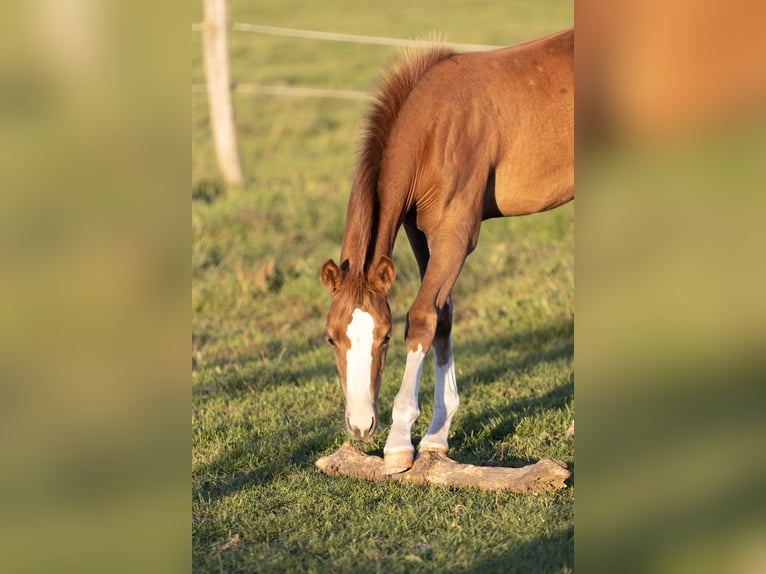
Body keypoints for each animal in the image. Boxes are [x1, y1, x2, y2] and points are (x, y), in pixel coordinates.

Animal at [320, 28, 574, 475]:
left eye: (386, 337)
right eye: (331, 338)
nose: (361, 425)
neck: (434, 127)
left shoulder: (458, 232)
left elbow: (422, 316)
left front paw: (400, 442)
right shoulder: (421, 231)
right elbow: (444, 315)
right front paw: (437, 436)